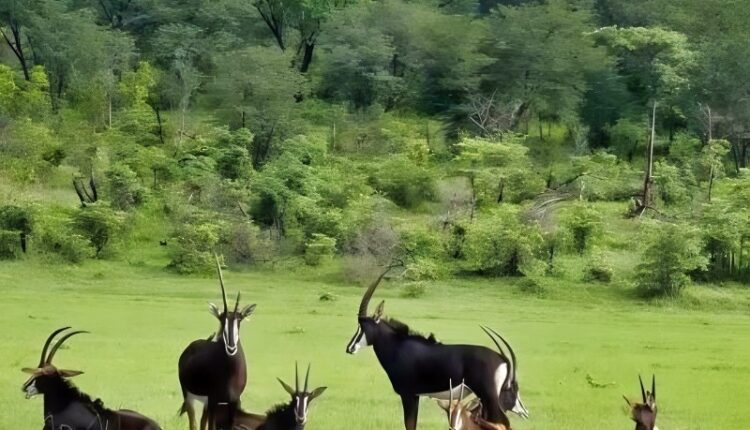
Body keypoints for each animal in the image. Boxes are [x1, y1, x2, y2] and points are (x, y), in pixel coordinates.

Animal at [178, 257, 257, 430]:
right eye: (222, 319)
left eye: (239, 320)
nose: (231, 347)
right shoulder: (214, 400)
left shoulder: (234, 402)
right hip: (189, 395)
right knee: (193, 422)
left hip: (206, 402)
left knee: (202, 422)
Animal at [345, 266, 528, 430]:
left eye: (362, 326)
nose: (349, 348)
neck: (398, 346)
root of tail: (502, 359)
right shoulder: (416, 396)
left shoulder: (408, 395)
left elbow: (409, 425)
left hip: (489, 397)